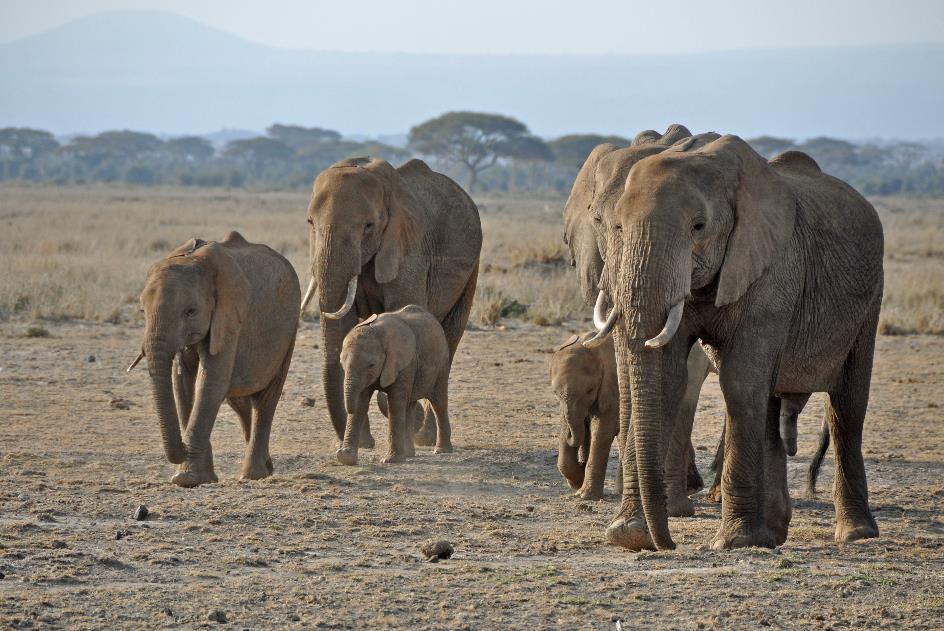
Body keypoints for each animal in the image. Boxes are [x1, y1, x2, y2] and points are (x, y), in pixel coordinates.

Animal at [132, 233, 298, 488]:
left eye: (191, 311)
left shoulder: (229, 318)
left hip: (289, 331)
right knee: (240, 401)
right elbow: (183, 385)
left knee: (265, 400)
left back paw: (253, 475)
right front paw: (192, 477)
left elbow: (209, 381)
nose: (182, 447)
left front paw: (187, 479)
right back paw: (267, 467)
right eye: (142, 311)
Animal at [338, 306, 452, 464]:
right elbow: (361, 402)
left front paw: (389, 460)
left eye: (371, 365)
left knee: (438, 403)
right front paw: (345, 458)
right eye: (341, 362)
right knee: (409, 405)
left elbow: (395, 402)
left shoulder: (404, 362)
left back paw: (441, 450)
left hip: (442, 363)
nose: (340, 451)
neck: (378, 333)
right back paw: (409, 454)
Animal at [592, 137, 884, 548]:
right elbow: (669, 378)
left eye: (698, 226)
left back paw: (855, 534)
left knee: (846, 407)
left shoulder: (773, 269)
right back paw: (773, 534)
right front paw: (630, 536)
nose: (669, 543)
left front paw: (734, 542)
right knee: (771, 404)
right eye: (614, 226)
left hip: (870, 299)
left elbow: (740, 382)